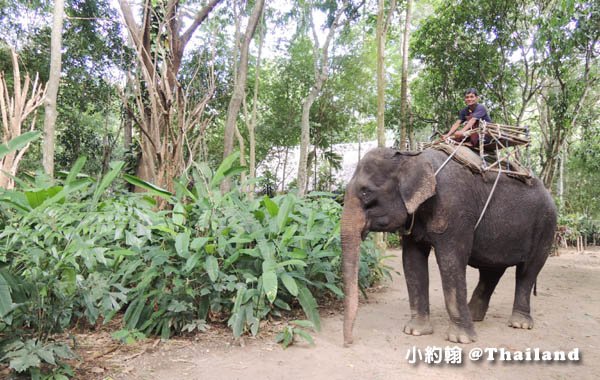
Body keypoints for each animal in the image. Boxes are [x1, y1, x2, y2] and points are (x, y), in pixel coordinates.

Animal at [342, 147, 556, 346]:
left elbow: (451, 262)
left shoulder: (454, 209)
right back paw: (475, 316)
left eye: (366, 192)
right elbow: (412, 262)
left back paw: (519, 323)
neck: (412, 156)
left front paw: (461, 339)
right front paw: (415, 331)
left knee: (528, 271)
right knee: (492, 271)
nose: (349, 342)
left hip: (546, 227)